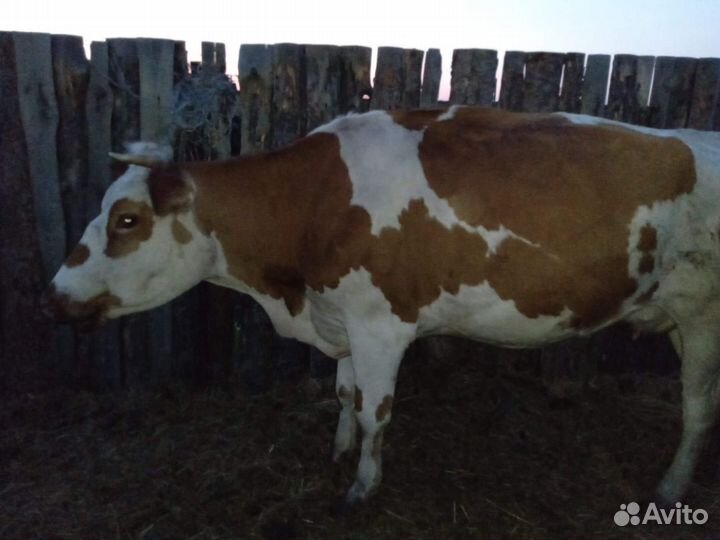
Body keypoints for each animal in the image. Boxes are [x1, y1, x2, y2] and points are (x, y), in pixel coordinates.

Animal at [47, 106, 720, 507]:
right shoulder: (342, 316)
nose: (54, 295)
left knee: (696, 410)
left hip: (702, 315)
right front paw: (340, 449)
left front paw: (363, 486)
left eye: (127, 220)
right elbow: (345, 394)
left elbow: (377, 412)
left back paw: (671, 486)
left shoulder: (381, 325)